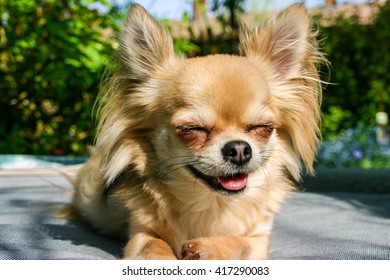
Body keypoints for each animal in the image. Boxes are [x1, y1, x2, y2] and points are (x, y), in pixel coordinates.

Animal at [71, 3, 326, 260]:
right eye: (193, 129)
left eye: (262, 127)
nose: (239, 149)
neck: (214, 204)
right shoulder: (141, 232)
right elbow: (154, 245)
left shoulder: (259, 239)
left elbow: (239, 243)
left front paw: (208, 247)